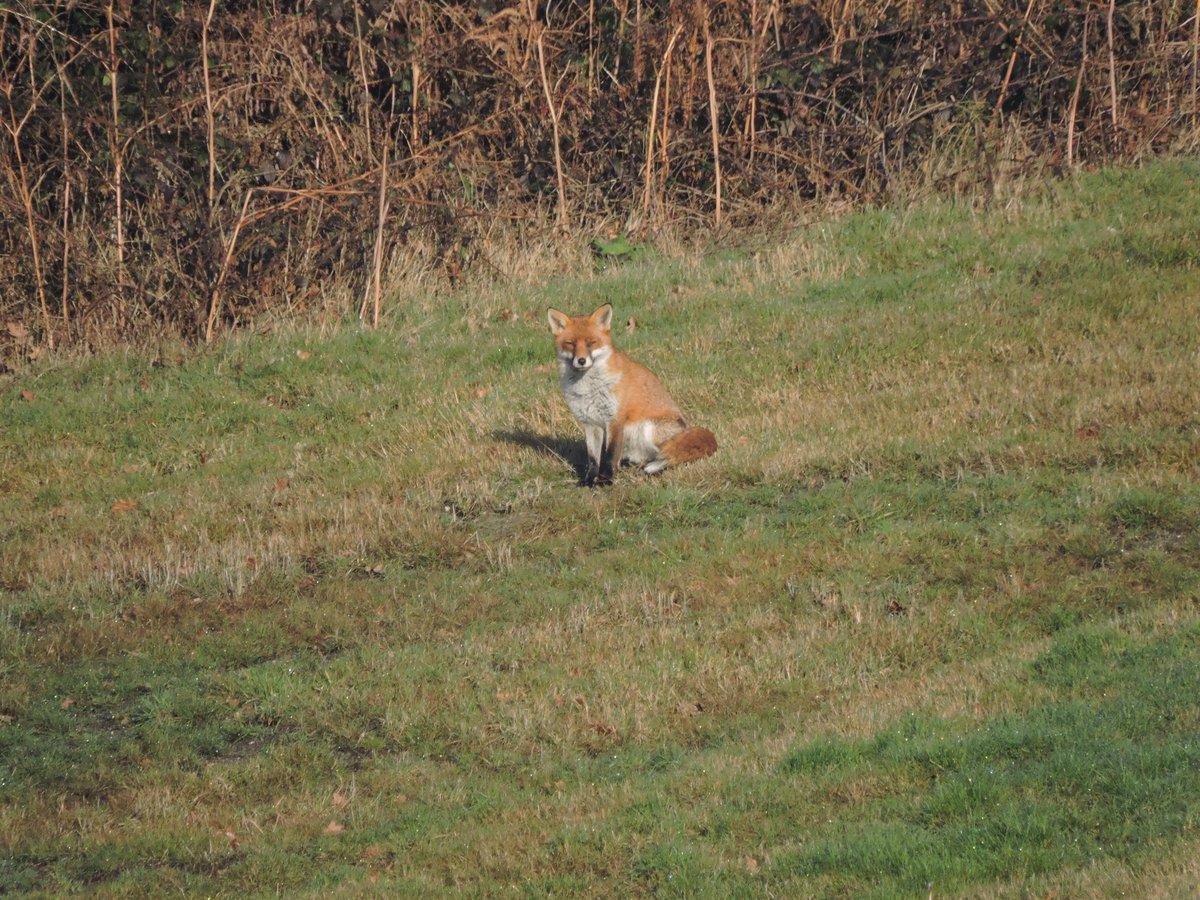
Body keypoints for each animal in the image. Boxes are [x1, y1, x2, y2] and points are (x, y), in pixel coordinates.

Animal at [549, 303, 715, 487]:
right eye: (570, 343)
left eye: (591, 342)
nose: (581, 361)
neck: (589, 389)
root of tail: (688, 429)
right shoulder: (590, 423)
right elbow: (593, 459)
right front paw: (589, 480)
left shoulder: (615, 420)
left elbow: (609, 455)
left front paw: (605, 480)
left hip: (648, 429)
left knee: (671, 455)